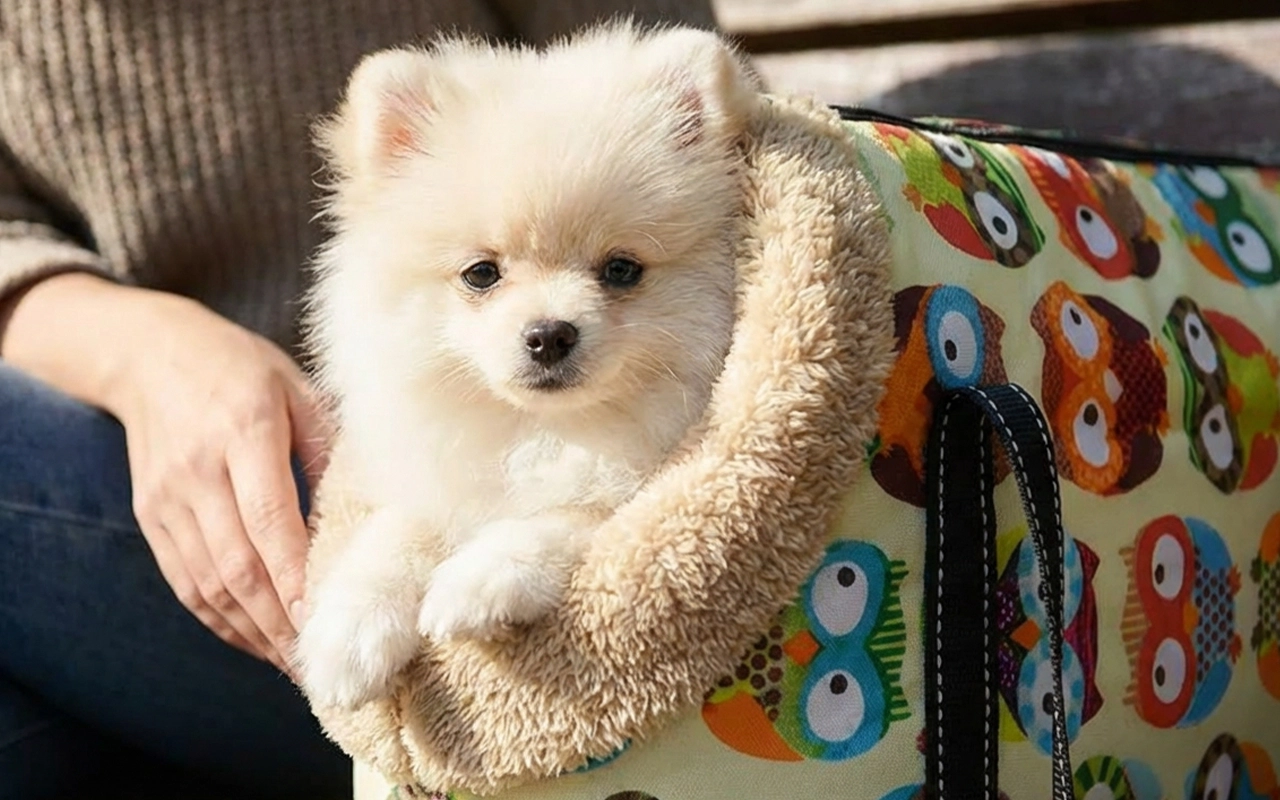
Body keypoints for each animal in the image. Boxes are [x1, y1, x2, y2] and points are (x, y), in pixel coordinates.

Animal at [293, 21, 761, 709]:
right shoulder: (448, 480)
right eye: (481, 274)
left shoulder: (636, 487)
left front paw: (476, 581)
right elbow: (399, 530)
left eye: (621, 269)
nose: (549, 334)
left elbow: (568, 517)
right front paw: (349, 628)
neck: (540, 431)